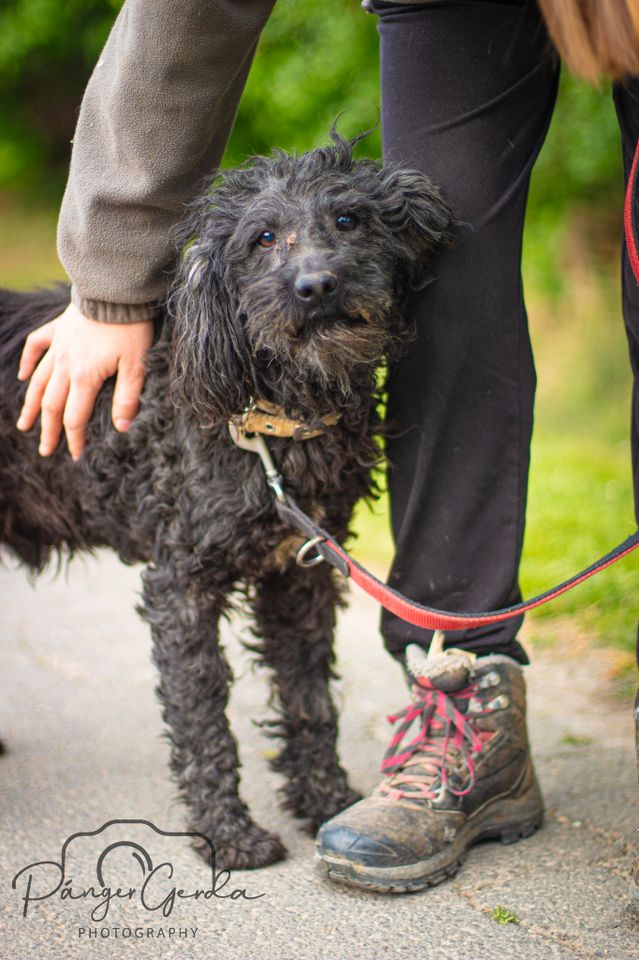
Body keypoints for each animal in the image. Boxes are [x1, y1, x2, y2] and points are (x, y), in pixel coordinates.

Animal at [0, 135, 450, 872]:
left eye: (349, 219)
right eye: (262, 239)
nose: (315, 286)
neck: (272, 420)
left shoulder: (299, 576)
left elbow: (308, 698)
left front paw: (326, 800)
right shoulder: (181, 584)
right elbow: (200, 712)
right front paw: (227, 833)